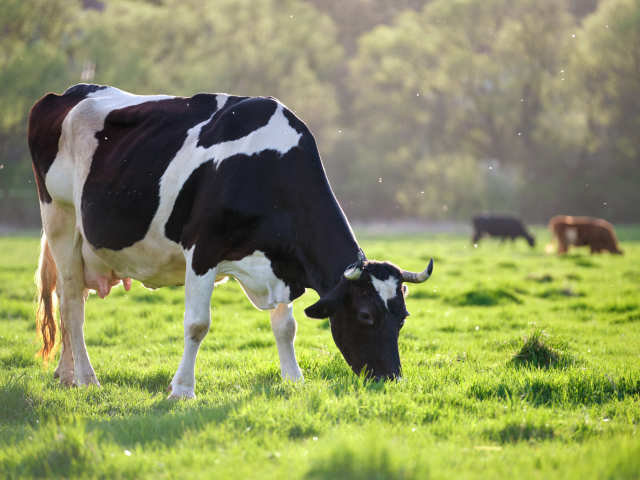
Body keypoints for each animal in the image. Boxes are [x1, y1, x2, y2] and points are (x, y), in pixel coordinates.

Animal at [28, 84, 434, 399]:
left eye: (403, 316)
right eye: (365, 315)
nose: (391, 379)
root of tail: (67, 93)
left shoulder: (279, 263)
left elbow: (286, 327)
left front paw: (294, 379)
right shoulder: (202, 250)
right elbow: (197, 324)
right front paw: (182, 390)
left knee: (70, 297)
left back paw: (65, 375)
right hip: (61, 219)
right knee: (71, 303)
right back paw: (86, 379)